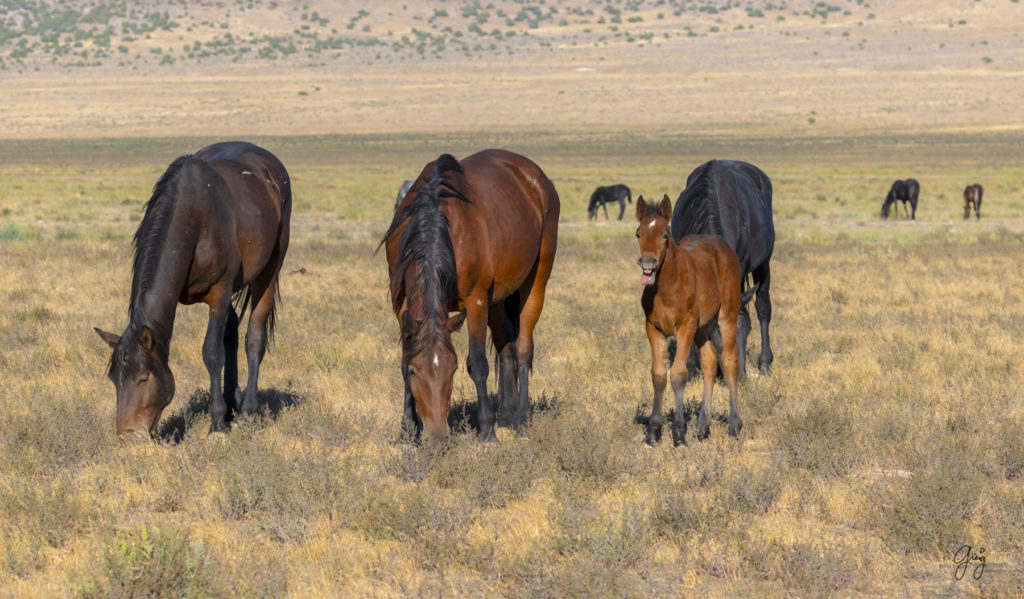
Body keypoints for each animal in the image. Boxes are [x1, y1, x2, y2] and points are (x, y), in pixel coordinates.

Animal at [95, 142, 290, 436]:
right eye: (113, 380)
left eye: (143, 379)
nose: (127, 436)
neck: (193, 217)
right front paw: (222, 414)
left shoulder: (220, 291)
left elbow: (212, 352)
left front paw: (216, 423)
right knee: (232, 332)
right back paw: (232, 405)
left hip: (270, 269)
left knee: (254, 337)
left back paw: (247, 411)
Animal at [382, 149, 561, 438]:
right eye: (415, 372)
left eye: (452, 370)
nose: (436, 437)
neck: (435, 224)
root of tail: (536, 178)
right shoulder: (400, 302)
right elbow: (403, 356)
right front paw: (408, 427)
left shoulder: (475, 301)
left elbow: (477, 363)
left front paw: (487, 430)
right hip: (497, 299)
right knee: (506, 346)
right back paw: (507, 416)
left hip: (536, 282)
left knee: (524, 348)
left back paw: (521, 417)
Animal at [634, 194, 749, 444]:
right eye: (638, 233)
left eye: (665, 234)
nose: (648, 263)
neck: (667, 287)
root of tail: (723, 246)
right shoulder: (653, 328)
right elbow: (658, 374)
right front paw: (653, 431)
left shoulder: (686, 326)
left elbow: (678, 373)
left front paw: (679, 431)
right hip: (702, 327)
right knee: (709, 361)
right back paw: (703, 426)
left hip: (726, 314)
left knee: (729, 359)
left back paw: (735, 425)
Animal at [667, 158, 770, 372]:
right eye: (717, 332)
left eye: (747, 330)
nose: (739, 375)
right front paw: (690, 365)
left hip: (764, 264)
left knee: (763, 306)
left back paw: (765, 362)